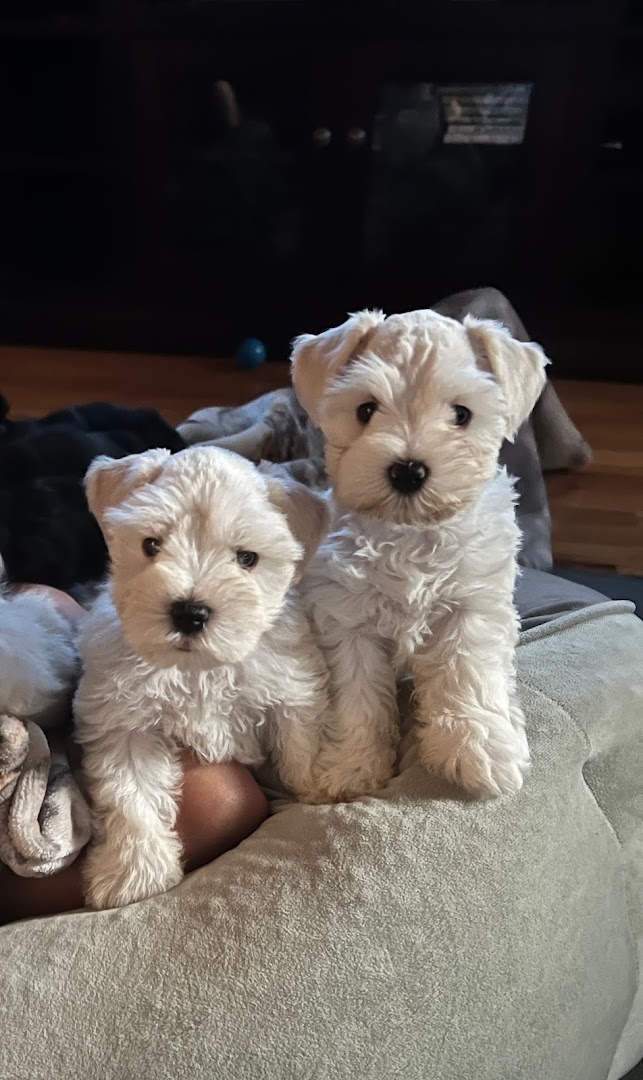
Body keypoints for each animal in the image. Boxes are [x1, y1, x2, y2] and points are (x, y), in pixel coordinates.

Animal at [72, 442, 328, 907]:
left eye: (247, 558)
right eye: (151, 545)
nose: (190, 612)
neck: (197, 671)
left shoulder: (291, 686)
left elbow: (301, 741)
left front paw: (320, 787)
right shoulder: (124, 722)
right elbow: (130, 795)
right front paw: (134, 873)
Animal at [291, 311, 548, 803]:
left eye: (462, 415)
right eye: (365, 410)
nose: (408, 470)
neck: (410, 535)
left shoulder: (472, 605)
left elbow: (466, 671)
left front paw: (476, 748)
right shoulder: (347, 619)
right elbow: (358, 697)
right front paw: (352, 765)